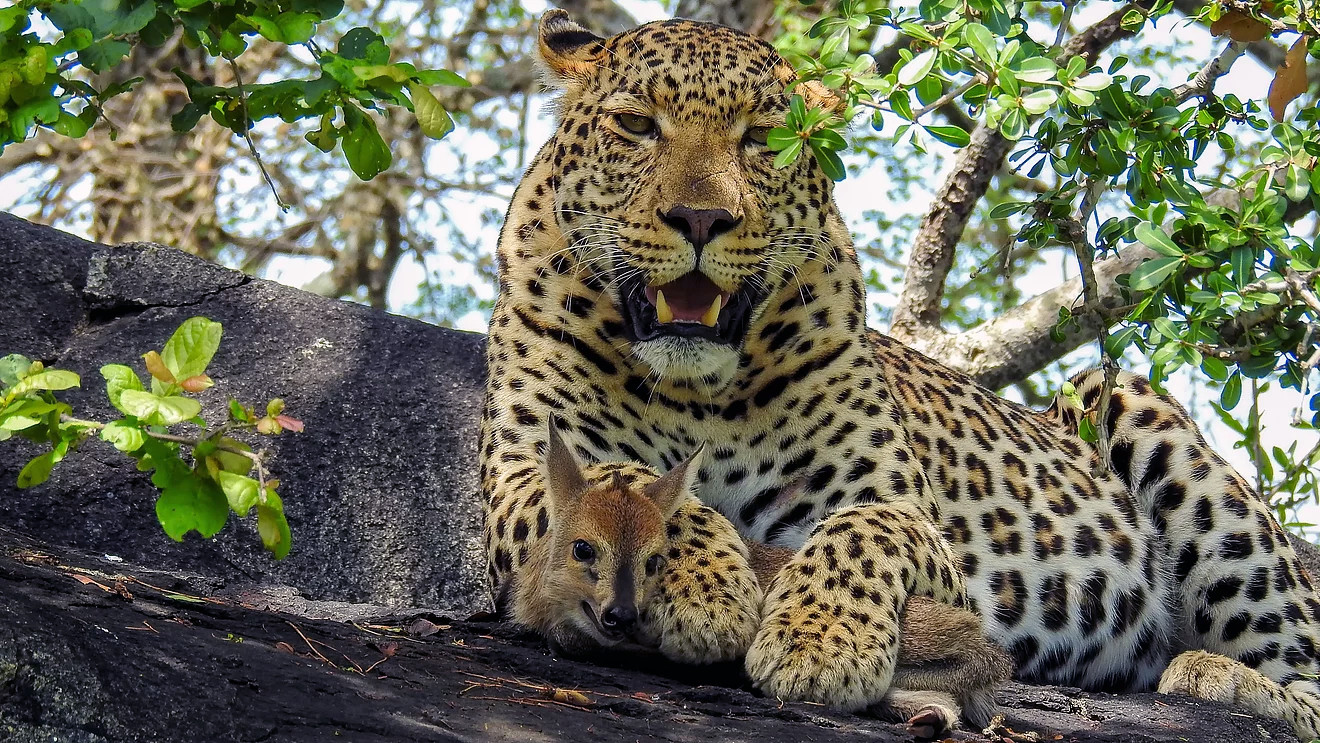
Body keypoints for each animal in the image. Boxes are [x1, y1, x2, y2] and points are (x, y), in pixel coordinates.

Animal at [478, 9, 1320, 739]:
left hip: (1139, 417)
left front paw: (820, 642)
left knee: (1303, 672)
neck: (696, 387)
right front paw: (708, 588)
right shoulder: (520, 475)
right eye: (636, 126)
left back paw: (1216, 673)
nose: (700, 219)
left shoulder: (914, 524)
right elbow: (626, 483)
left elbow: (863, 530)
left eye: (762, 138)